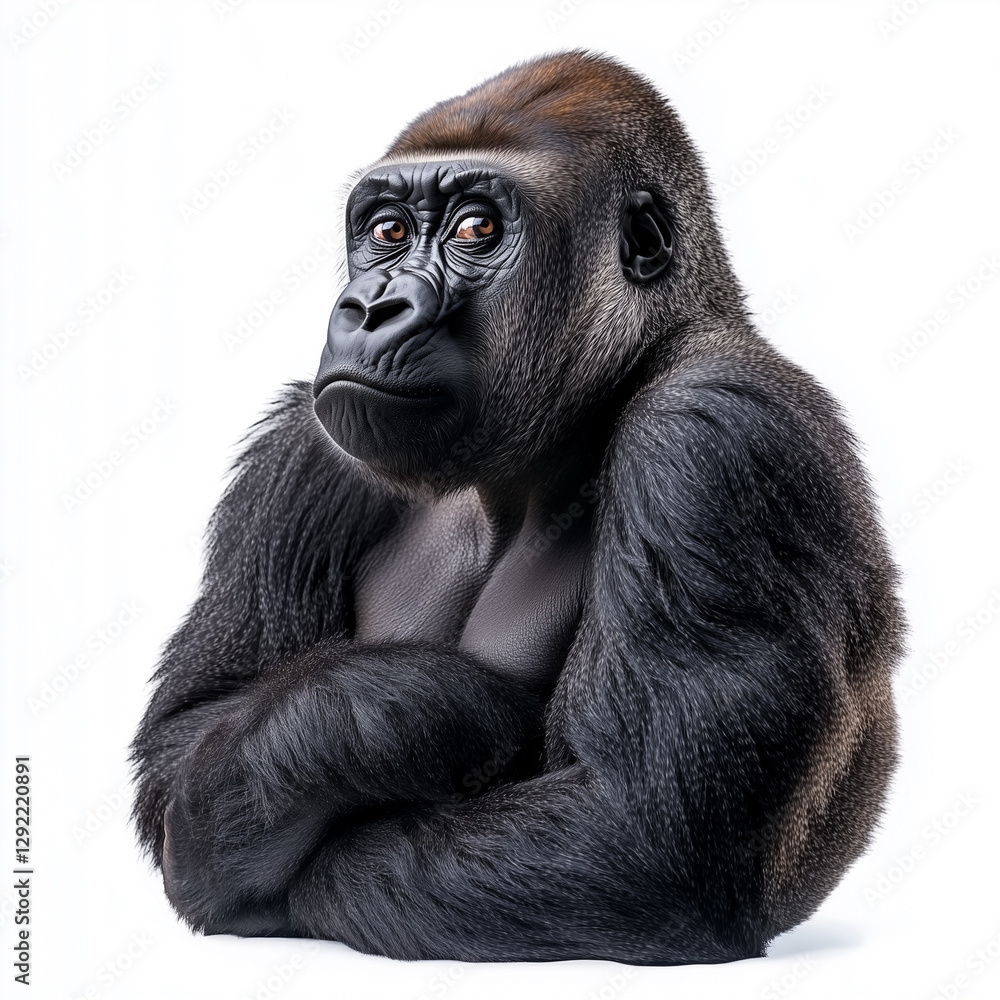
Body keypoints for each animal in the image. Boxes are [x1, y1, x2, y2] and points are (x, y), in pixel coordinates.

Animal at [131, 50, 904, 964]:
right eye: (387, 232)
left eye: (476, 231)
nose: (371, 307)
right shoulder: (301, 453)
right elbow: (186, 742)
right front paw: (407, 710)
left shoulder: (720, 432)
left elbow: (643, 842)